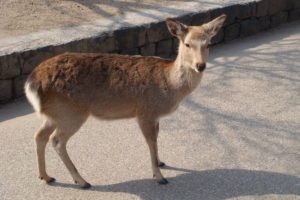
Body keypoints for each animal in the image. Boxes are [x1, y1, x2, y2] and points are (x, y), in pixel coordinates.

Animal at [25, 14, 225, 189]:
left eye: (208, 43)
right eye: (187, 44)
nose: (200, 65)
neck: (170, 85)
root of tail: (33, 80)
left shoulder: (155, 116)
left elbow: (156, 139)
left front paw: (160, 162)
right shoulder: (145, 112)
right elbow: (151, 142)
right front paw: (159, 177)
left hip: (54, 113)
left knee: (39, 135)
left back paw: (46, 176)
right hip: (72, 113)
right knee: (56, 140)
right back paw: (82, 181)